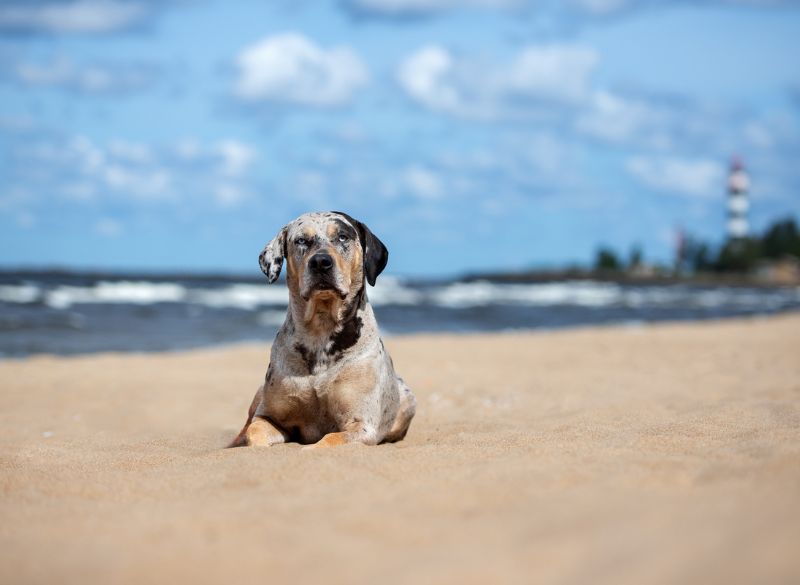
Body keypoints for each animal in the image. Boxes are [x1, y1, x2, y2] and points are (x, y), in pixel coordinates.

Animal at [227, 212, 418, 450]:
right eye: (301, 240)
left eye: (343, 236)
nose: (320, 262)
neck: (321, 330)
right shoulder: (268, 416)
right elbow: (254, 433)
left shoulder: (361, 425)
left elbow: (326, 441)